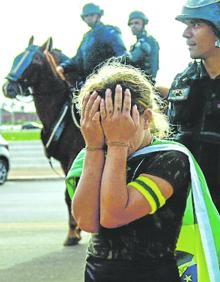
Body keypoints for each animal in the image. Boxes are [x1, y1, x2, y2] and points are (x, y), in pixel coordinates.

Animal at [2, 38, 85, 247]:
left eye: (36, 59)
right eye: (17, 56)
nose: (8, 87)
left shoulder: (73, 157)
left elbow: (69, 195)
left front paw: (72, 233)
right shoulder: (65, 162)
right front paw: (76, 230)